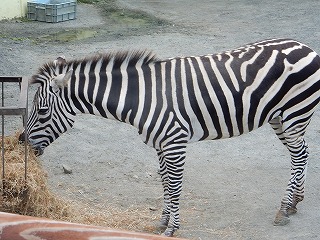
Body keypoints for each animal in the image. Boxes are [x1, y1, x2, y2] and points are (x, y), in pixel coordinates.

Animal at [21, 38, 318, 235]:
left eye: (43, 110)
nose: (22, 142)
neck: (140, 96)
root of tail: (305, 47)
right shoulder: (160, 144)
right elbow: (164, 182)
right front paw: (163, 221)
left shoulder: (175, 142)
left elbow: (174, 186)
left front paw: (172, 228)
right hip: (279, 118)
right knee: (301, 153)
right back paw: (294, 203)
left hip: (295, 113)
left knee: (299, 155)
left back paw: (284, 208)